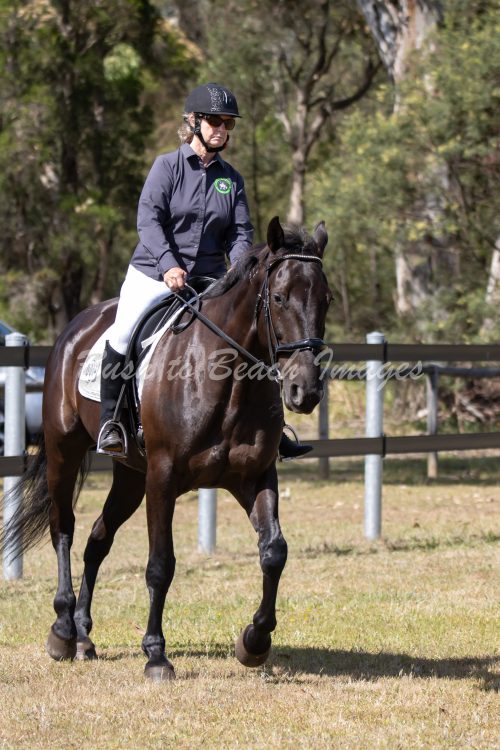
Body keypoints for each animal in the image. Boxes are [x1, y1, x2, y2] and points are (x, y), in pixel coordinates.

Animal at [2, 216, 332, 681]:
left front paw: (254, 642)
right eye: (280, 297)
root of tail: (77, 325)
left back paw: (83, 635)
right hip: (66, 451)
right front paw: (156, 655)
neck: (228, 378)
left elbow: (274, 553)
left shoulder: (254, 477)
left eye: (326, 300)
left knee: (97, 539)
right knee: (63, 528)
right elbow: (161, 565)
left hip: (129, 475)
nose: (306, 392)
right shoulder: (163, 478)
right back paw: (63, 630)